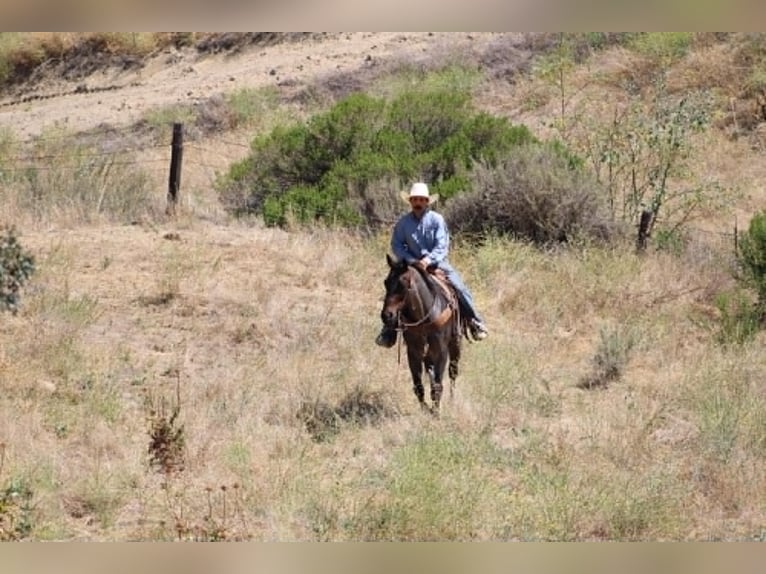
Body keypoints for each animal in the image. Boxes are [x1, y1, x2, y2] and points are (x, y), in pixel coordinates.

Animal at [380, 254, 463, 414]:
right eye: (386, 282)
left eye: (403, 284)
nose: (387, 316)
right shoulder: (413, 352)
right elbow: (418, 386)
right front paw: (426, 410)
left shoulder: (441, 352)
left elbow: (438, 385)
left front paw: (436, 413)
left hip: (455, 345)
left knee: (453, 372)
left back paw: (452, 399)